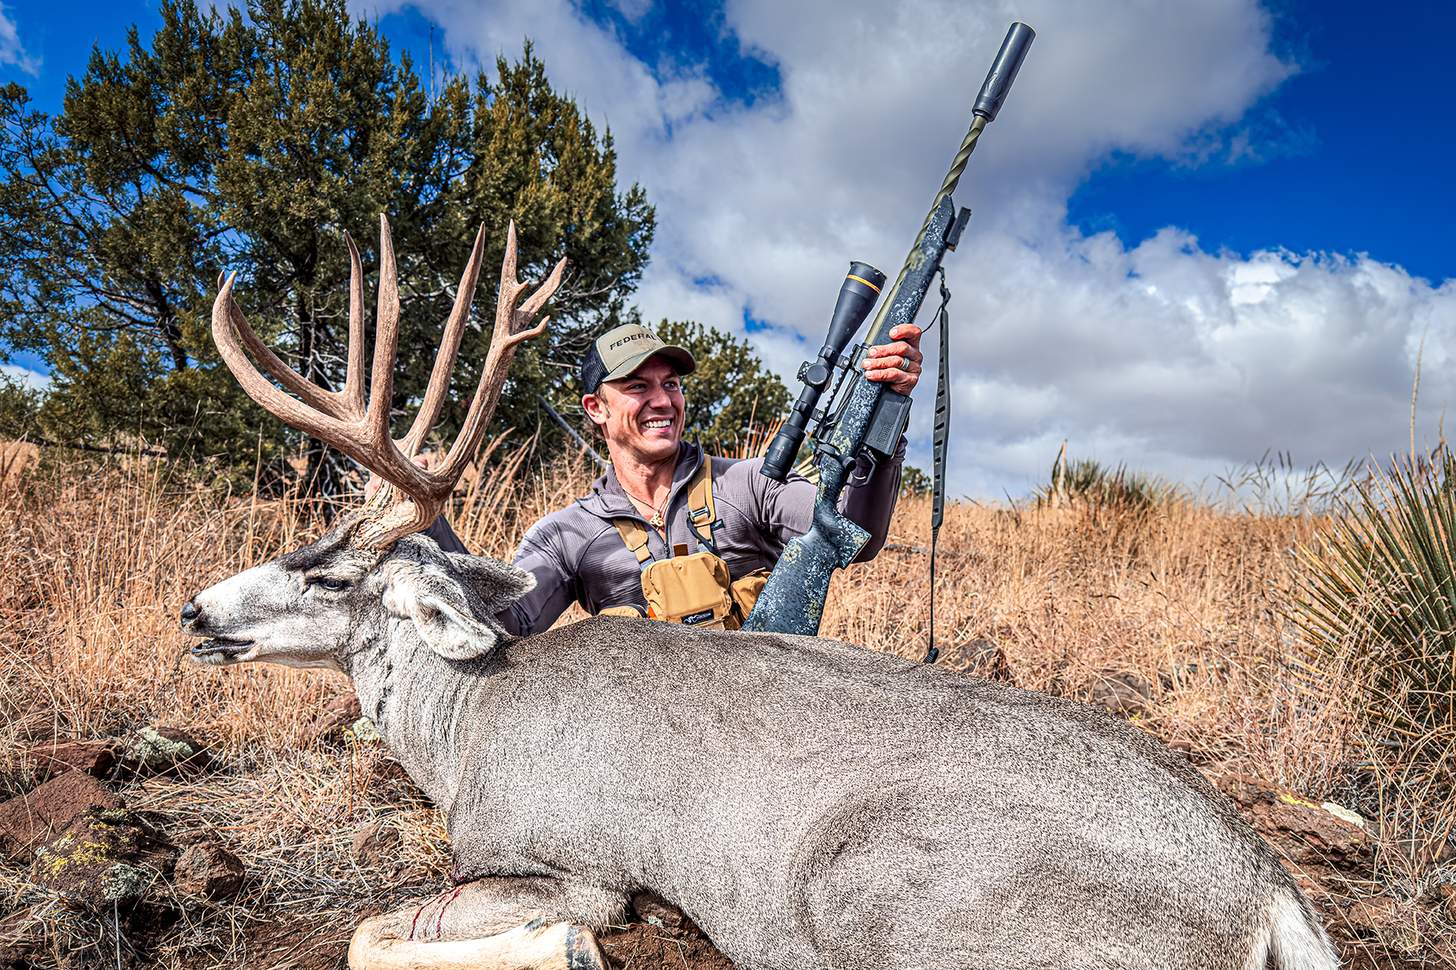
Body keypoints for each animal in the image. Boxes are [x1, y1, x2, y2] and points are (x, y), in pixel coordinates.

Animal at [180, 216, 1340, 970]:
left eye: (325, 571)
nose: (191, 611)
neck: (466, 725)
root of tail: (1270, 896)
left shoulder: (566, 856)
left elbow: (371, 930)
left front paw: (585, 943)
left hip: (870, 881)